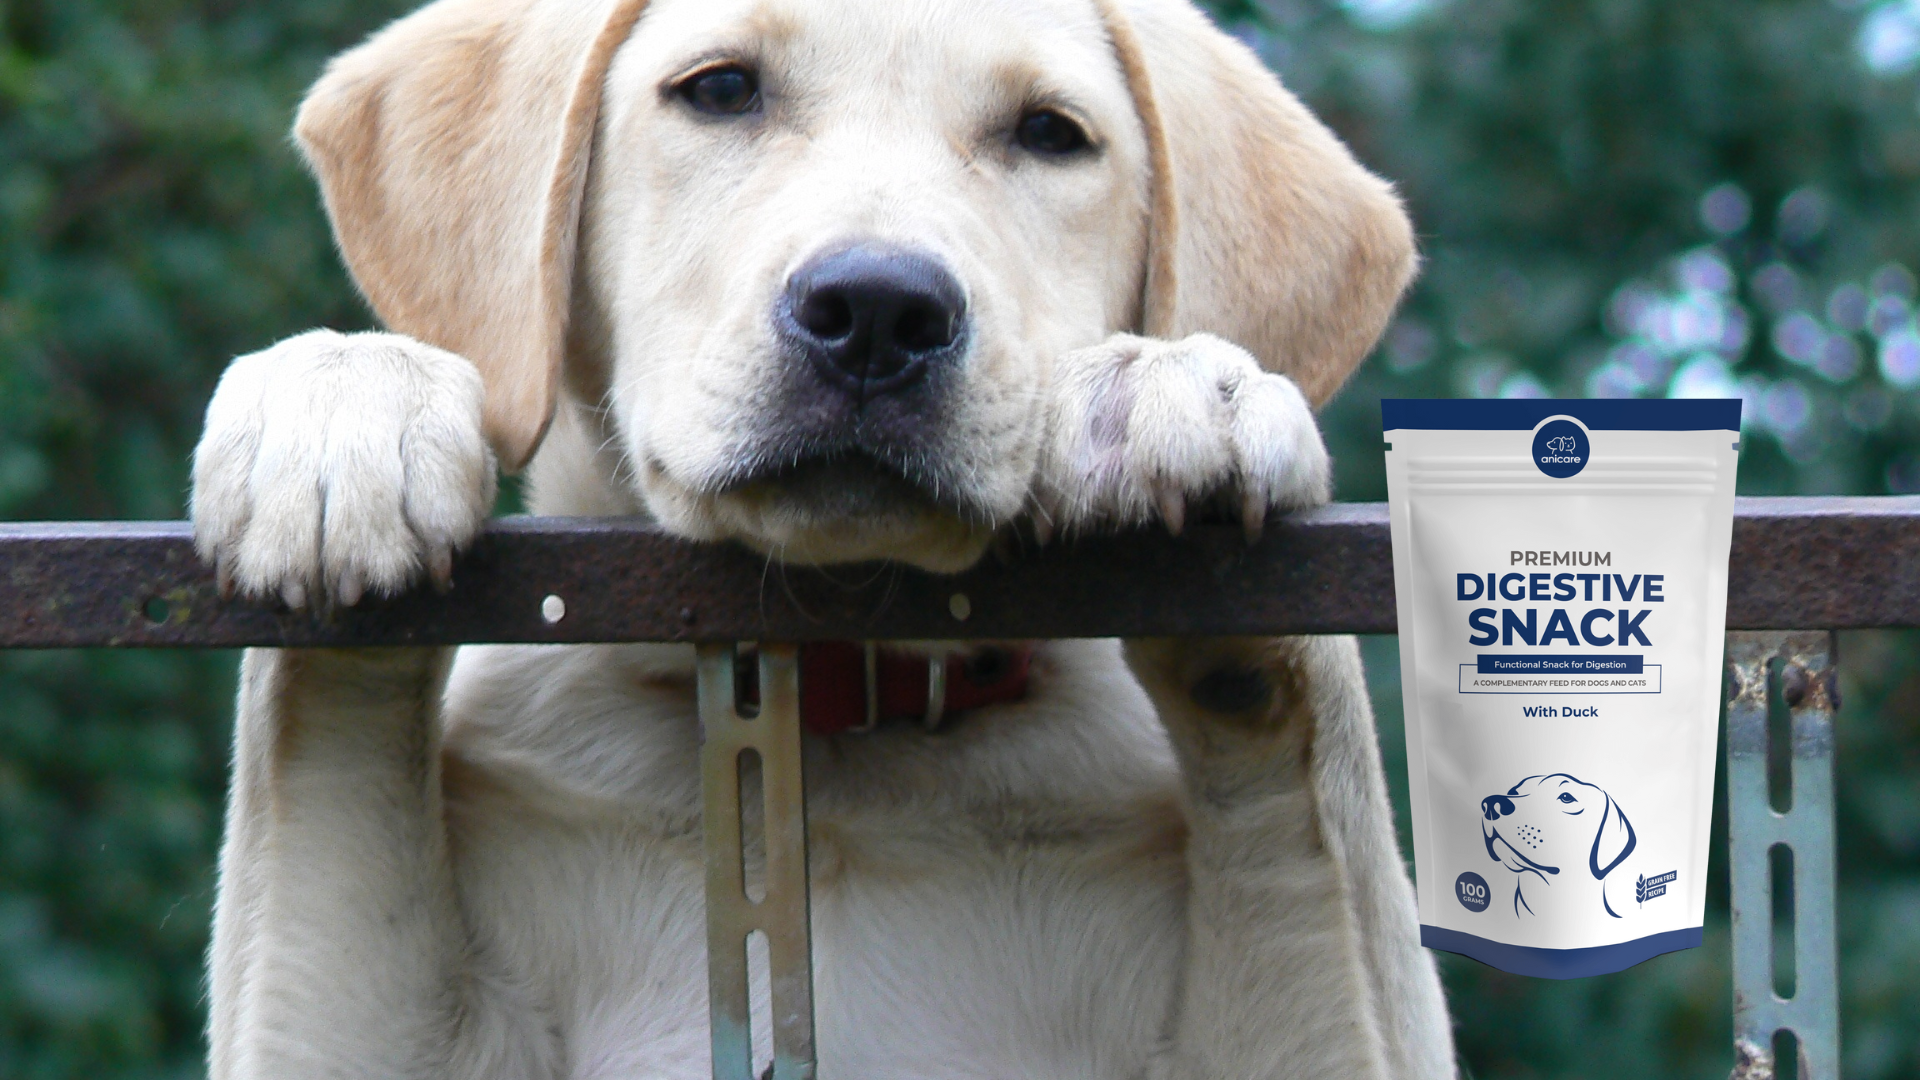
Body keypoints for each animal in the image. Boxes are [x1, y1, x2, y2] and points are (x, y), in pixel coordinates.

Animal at [191, 0, 1451, 1068]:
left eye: (1051, 134)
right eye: (720, 89)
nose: (880, 313)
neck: (843, 720)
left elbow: (1310, 768)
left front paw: (1175, 384)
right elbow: (329, 733)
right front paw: (343, 405)